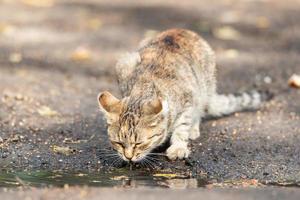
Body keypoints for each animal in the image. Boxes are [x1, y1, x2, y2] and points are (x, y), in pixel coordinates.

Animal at [98, 28, 270, 162]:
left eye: (139, 144)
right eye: (119, 143)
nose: (128, 157)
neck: (144, 87)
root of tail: (184, 30)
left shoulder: (188, 99)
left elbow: (182, 127)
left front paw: (178, 147)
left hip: (204, 87)